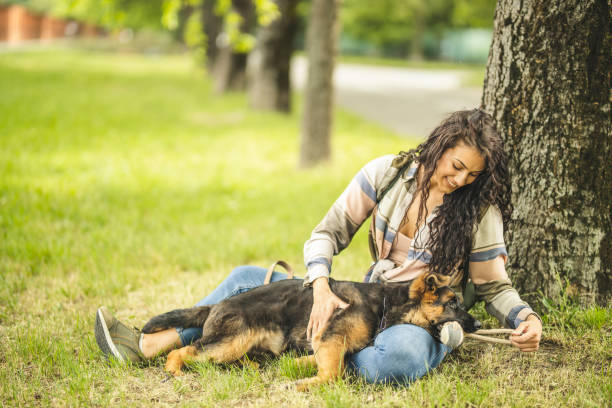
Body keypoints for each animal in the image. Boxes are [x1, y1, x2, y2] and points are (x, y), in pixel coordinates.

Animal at [141, 270, 480, 388]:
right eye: (452, 303)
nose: (477, 324)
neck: (384, 304)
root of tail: (216, 306)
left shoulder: (331, 342)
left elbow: (333, 364)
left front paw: (299, 367)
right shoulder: (331, 338)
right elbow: (333, 373)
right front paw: (302, 383)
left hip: (237, 346)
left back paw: (253, 367)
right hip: (228, 343)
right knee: (184, 350)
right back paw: (174, 371)